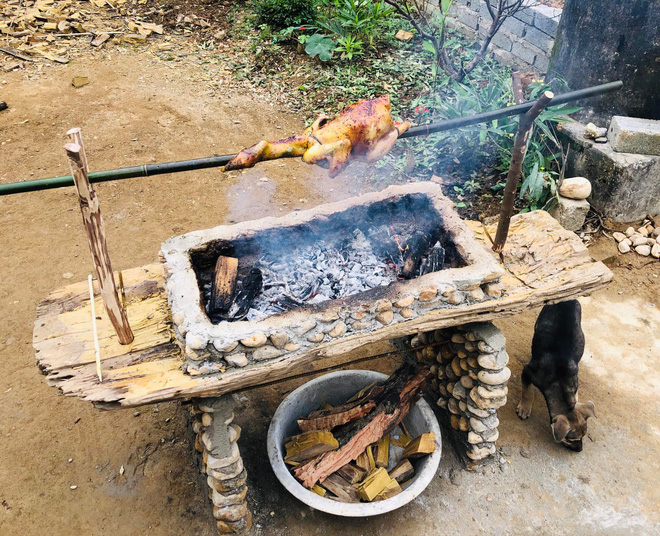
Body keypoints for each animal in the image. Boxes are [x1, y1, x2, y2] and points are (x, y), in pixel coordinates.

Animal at [520, 300, 596, 450]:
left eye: (584, 435)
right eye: (570, 439)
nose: (580, 449)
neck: (560, 381)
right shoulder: (527, 371)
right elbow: (527, 391)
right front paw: (524, 408)